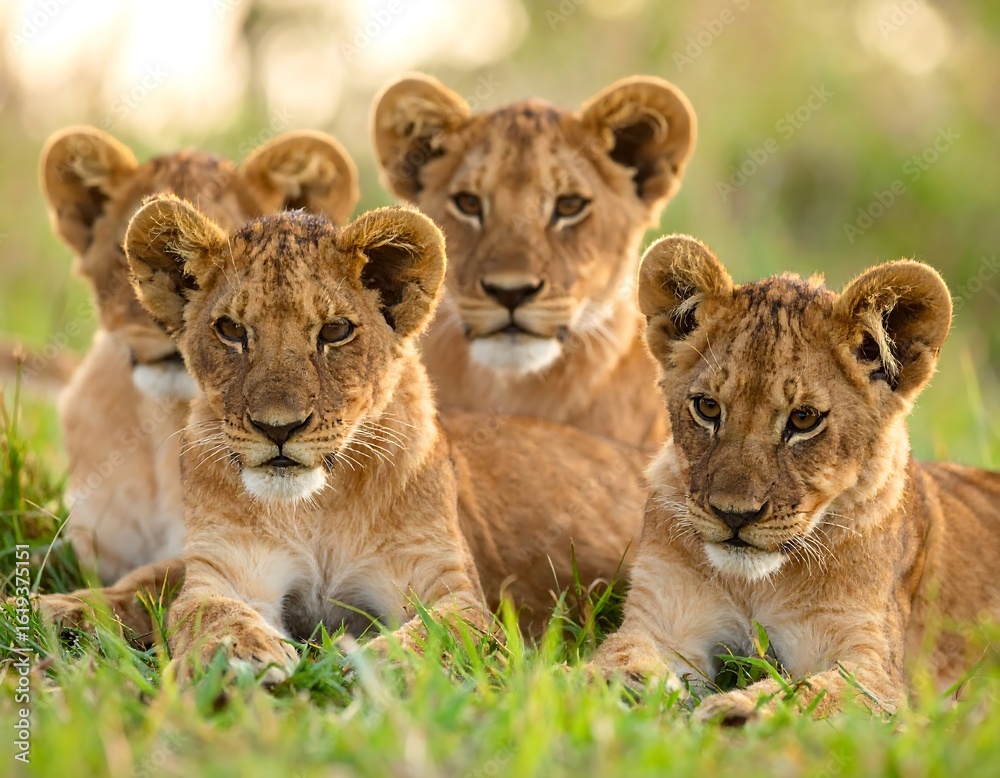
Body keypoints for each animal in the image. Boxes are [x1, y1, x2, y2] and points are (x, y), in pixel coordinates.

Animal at [113, 196, 644, 675]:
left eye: (335, 332)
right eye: (229, 329)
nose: (278, 428)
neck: (317, 509)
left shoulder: (445, 584)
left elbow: (443, 631)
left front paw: (383, 664)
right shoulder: (225, 569)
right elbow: (203, 609)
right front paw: (238, 654)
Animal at [594, 234, 1000, 724]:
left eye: (804, 419)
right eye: (707, 408)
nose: (734, 516)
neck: (756, 585)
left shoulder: (874, 670)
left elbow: (811, 695)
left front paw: (735, 713)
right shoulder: (660, 619)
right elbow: (619, 659)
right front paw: (621, 689)